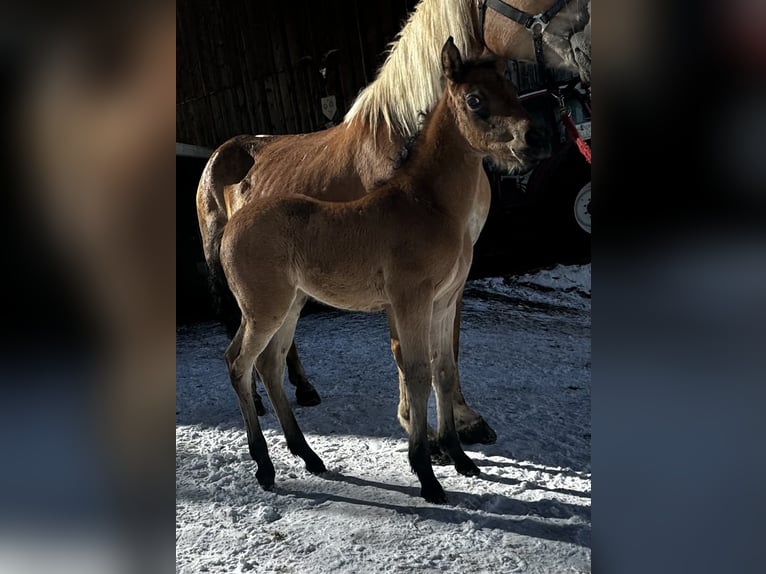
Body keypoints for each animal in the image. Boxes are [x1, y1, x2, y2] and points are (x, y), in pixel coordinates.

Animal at [222, 37, 552, 504]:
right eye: (475, 100)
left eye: (509, 87)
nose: (536, 139)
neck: (429, 205)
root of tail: (232, 224)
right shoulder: (411, 300)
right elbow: (416, 373)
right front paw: (427, 474)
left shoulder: (445, 300)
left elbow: (444, 370)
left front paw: (460, 458)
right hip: (263, 309)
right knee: (239, 363)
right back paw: (265, 467)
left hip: (290, 306)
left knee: (268, 364)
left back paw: (309, 457)